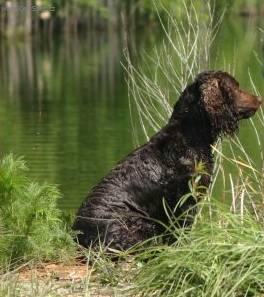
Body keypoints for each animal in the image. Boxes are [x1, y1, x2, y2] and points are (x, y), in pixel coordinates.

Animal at [72, 71, 262, 250]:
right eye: (235, 87)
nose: (260, 99)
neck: (189, 135)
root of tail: (78, 236)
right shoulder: (184, 202)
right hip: (138, 224)